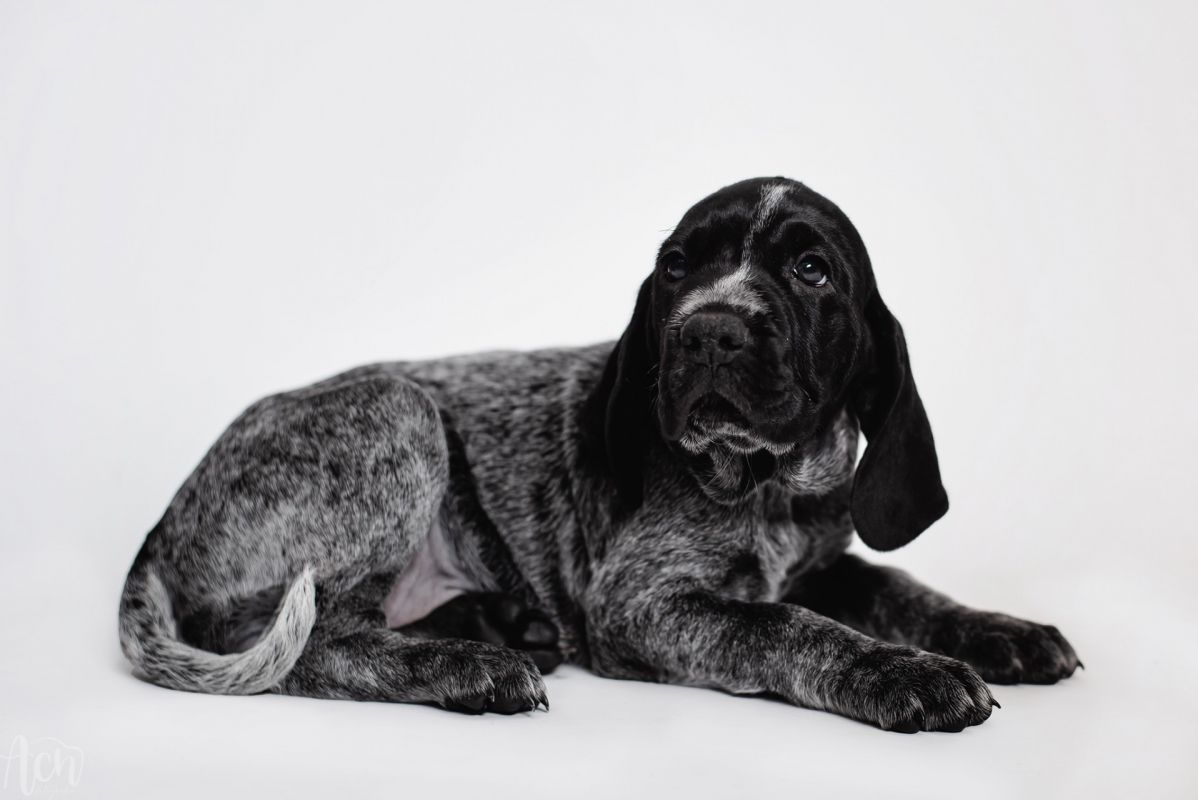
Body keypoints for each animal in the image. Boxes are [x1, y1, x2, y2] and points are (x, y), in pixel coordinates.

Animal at [118, 177, 1080, 731]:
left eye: (812, 271)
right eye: (676, 266)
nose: (709, 332)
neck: (767, 487)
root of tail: (160, 526)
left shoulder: (823, 562)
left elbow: (904, 589)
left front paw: (1000, 631)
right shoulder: (643, 605)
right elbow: (786, 627)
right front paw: (895, 671)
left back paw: (499, 626)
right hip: (398, 413)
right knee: (311, 644)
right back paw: (468, 664)